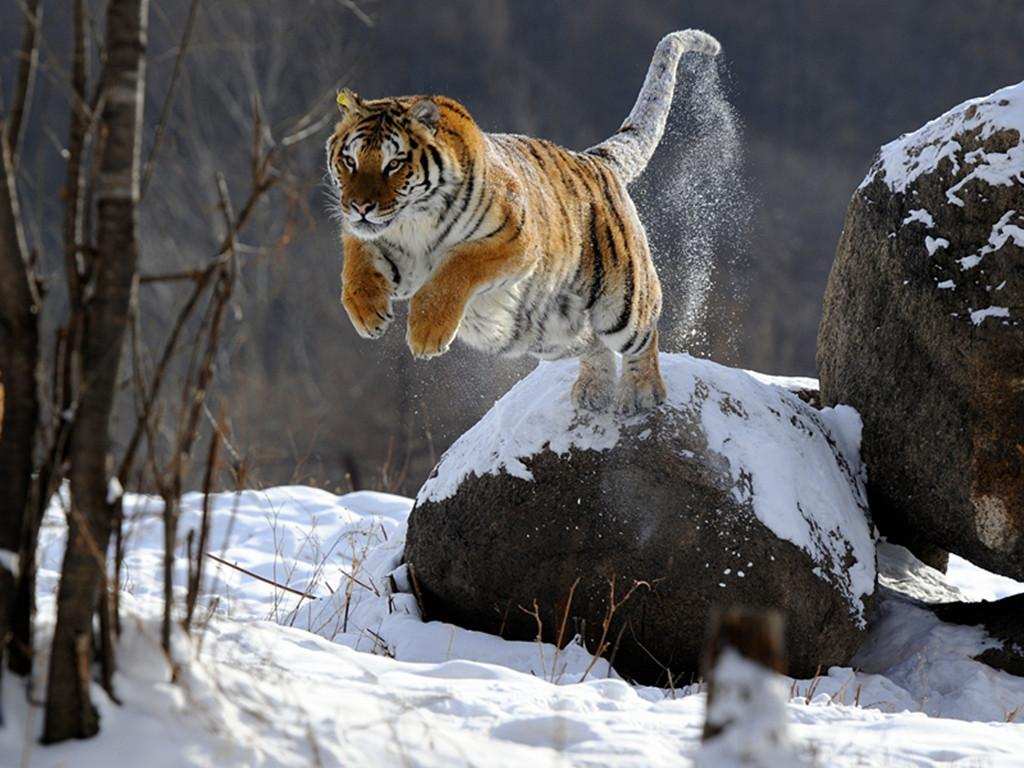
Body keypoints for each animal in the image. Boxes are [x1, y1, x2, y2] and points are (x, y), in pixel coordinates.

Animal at [327, 30, 720, 415]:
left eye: (393, 164)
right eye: (350, 160)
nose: (359, 207)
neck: (413, 223)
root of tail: (595, 160)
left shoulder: (514, 240)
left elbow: (455, 269)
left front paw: (426, 334)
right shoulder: (385, 248)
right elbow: (355, 265)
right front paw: (368, 314)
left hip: (622, 301)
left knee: (642, 337)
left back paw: (641, 393)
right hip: (549, 331)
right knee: (591, 342)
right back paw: (593, 391)